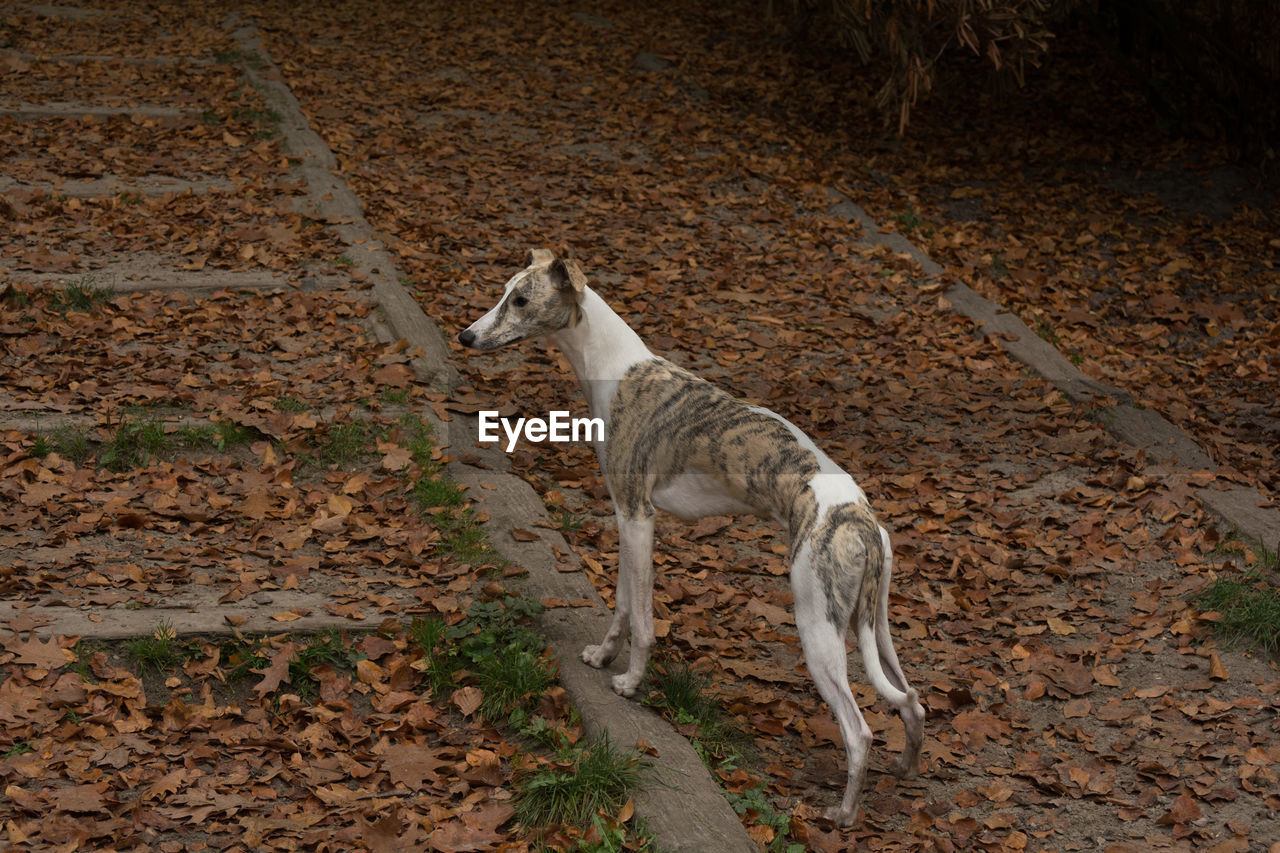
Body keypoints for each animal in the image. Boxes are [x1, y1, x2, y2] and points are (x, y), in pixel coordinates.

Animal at [455, 247, 926, 824]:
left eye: (521, 300)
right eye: (506, 291)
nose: (466, 336)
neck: (616, 368)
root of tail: (859, 516)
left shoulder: (638, 517)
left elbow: (643, 620)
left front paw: (630, 684)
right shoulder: (624, 518)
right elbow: (621, 605)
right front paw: (602, 657)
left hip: (817, 626)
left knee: (860, 732)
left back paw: (841, 815)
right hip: (876, 627)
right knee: (911, 701)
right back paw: (905, 770)